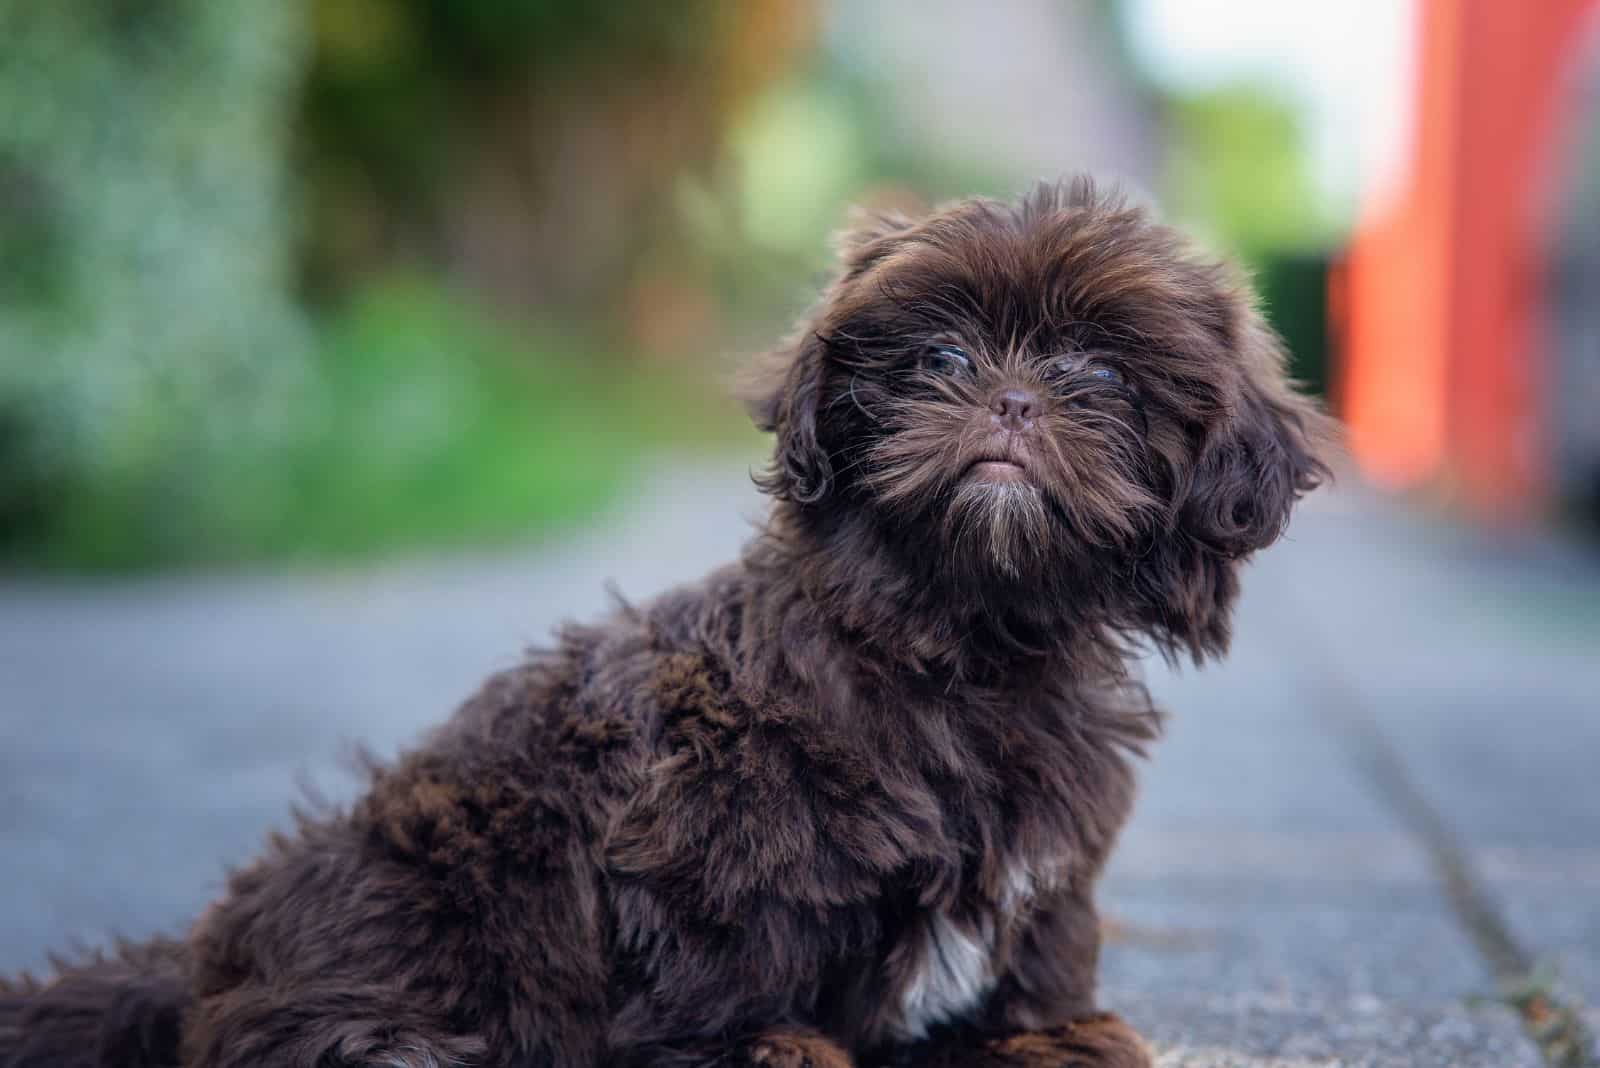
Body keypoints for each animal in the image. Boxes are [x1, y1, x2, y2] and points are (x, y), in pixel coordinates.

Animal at [0, 179, 1324, 1061]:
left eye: (1098, 378)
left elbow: (1046, 968)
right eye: (940, 356)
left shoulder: (1046, 869)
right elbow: (733, 969)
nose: (1009, 397)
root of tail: (205, 969)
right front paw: (764, 1045)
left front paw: (1058, 1033)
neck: (963, 636)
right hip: (430, 900)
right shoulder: (715, 842)